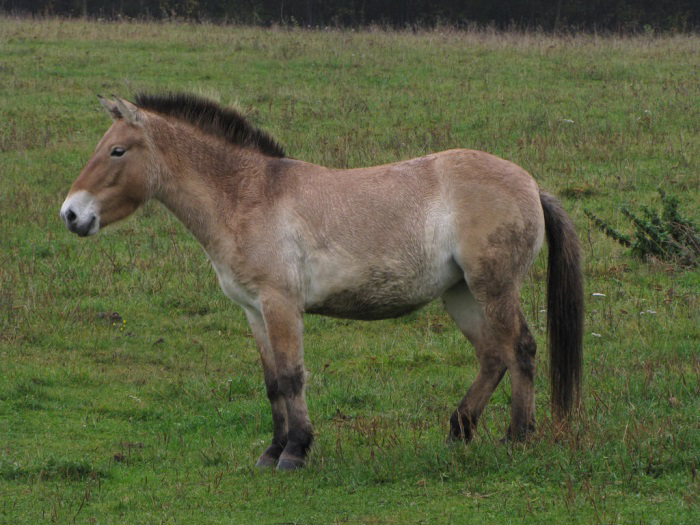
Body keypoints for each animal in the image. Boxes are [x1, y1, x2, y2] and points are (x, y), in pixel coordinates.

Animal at [60, 93, 584, 470]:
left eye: (117, 150)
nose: (71, 214)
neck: (247, 197)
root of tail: (530, 184)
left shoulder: (280, 305)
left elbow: (293, 377)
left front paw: (296, 452)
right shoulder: (254, 311)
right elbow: (273, 382)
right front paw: (271, 452)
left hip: (493, 288)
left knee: (520, 349)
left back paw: (517, 438)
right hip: (461, 293)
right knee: (493, 356)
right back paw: (459, 431)